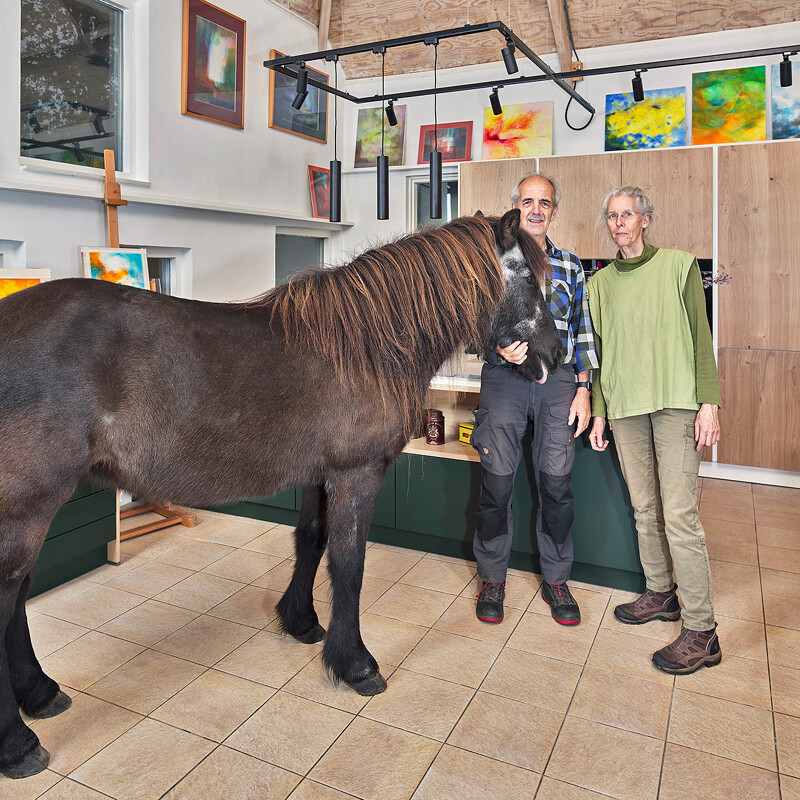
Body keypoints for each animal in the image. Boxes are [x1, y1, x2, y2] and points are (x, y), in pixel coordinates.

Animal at [0, 208, 562, 778]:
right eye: (524, 276)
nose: (556, 354)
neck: (367, 346)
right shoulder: (357, 474)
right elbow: (349, 564)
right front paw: (355, 664)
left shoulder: (321, 473)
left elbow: (311, 541)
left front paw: (301, 622)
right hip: (27, 506)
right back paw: (17, 744)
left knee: (18, 595)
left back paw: (41, 694)